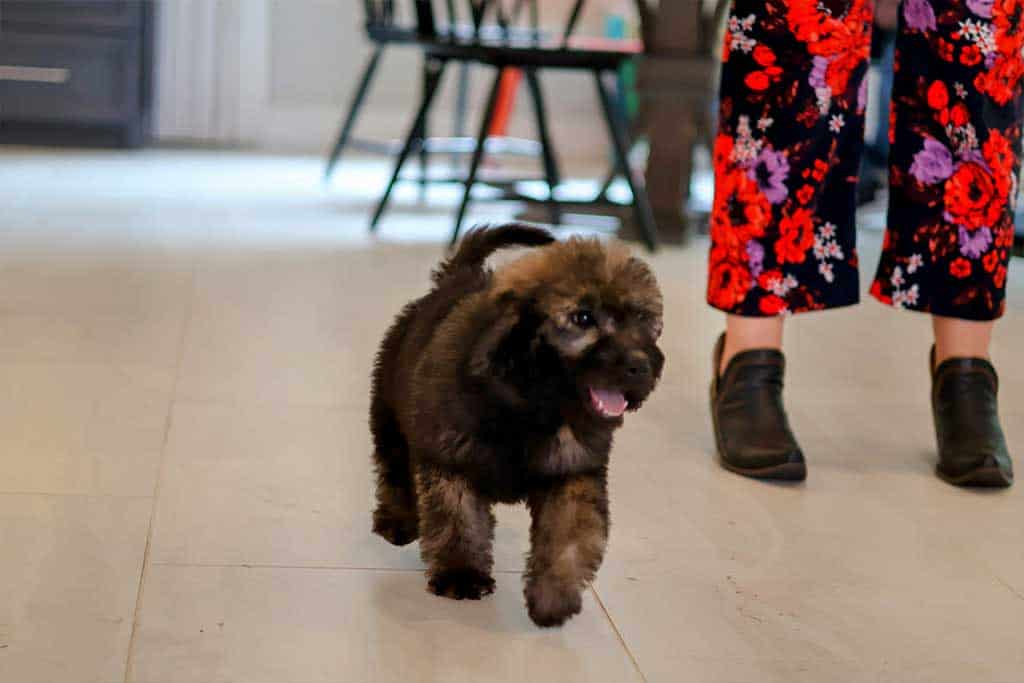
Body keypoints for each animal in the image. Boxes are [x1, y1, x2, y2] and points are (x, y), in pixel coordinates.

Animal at [368, 225, 663, 630]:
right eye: (583, 318)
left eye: (643, 319)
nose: (640, 366)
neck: (533, 402)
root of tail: (454, 277)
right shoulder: (450, 457)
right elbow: (458, 519)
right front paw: (462, 575)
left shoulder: (572, 473)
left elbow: (568, 535)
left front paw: (554, 597)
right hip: (390, 412)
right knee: (393, 468)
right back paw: (397, 522)